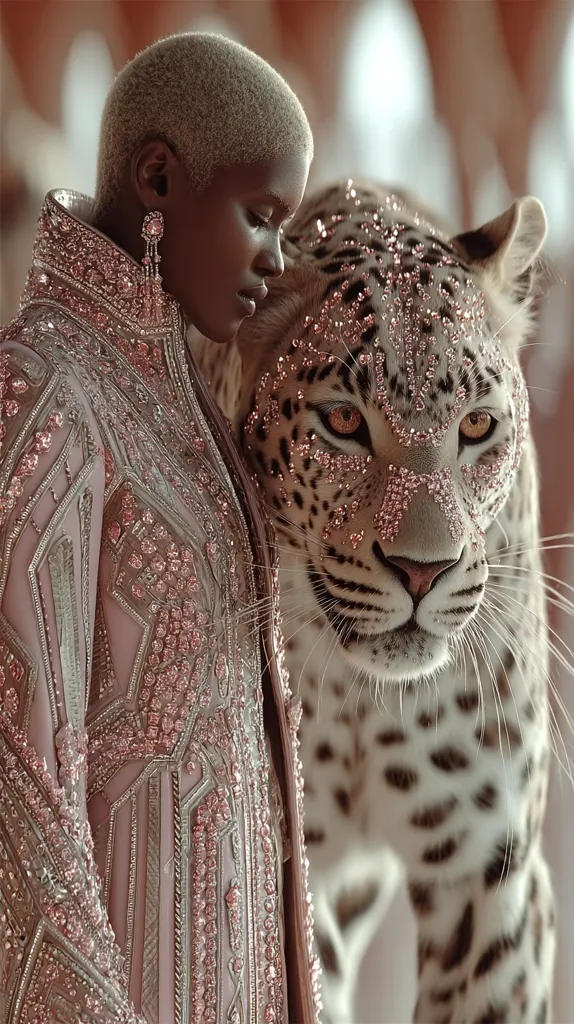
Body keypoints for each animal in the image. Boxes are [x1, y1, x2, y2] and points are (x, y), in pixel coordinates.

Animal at [194, 180, 556, 1024]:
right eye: (343, 422)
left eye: (478, 426)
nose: (424, 571)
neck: (364, 698)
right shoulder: (291, 865)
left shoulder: (492, 878)